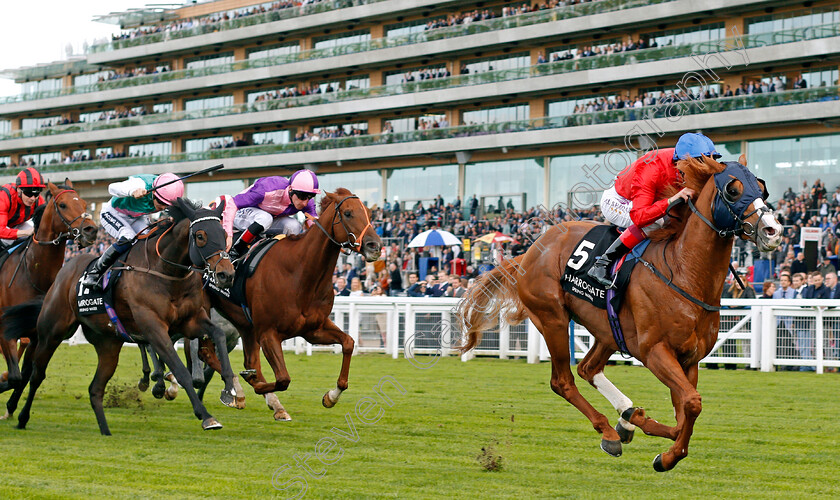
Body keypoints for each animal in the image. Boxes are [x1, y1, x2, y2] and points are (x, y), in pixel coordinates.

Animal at [0, 181, 97, 406]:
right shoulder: (4, 327)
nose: (91, 230)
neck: (33, 273)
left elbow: (23, 374)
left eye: (84, 203)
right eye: (62, 205)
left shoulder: (38, 334)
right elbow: (15, 375)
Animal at [4, 199, 240, 434]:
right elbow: (180, 370)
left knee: (95, 388)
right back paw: (21, 416)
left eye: (224, 233)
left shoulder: (190, 321)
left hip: (108, 343)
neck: (166, 273)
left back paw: (105, 431)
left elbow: (218, 335)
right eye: (200, 236)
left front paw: (230, 389)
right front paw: (206, 416)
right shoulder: (154, 328)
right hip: (52, 332)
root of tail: (63, 273)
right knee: (36, 375)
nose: (226, 274)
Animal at [210, 189, 380, 420]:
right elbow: (283, 379)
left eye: (369, 213)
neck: (299, 273)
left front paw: (331, 396)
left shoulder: (313, 329)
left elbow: (348, 343)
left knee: (236, 358)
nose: (375, 246)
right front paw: (252, 384)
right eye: (347, 213)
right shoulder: (268, 333)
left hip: (244, 324)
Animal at [460, 157, 780, 472]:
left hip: (607, 331)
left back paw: (626, 419)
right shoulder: (654, 351)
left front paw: (649, 434)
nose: (773, 231)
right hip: (552, 319)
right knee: (563, 381)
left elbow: (684, 412)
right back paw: (610, 431)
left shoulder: (689, 359)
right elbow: (691, 403)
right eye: (733, 190)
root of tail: (529, 251)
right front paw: (666, 456)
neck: (684, 270)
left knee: (588, 368)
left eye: (762, 189)